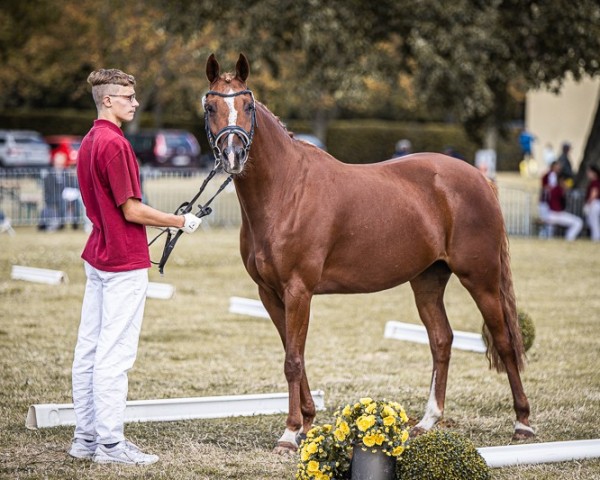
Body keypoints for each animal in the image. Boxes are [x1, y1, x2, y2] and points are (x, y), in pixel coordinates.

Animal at [203, 54, 536, 452]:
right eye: (210, 107)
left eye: (248, 106)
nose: (233, 155)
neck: (286, 191)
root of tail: (480, 178)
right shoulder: (269, 293)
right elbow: (294, 354)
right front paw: (305, 423)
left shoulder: (298, 290)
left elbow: (293, 360)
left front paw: (289, 433)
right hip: (428, 281)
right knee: (441, 340)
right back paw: (427, 421)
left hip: (481, 278)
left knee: (504, 340)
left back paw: (522, 423)